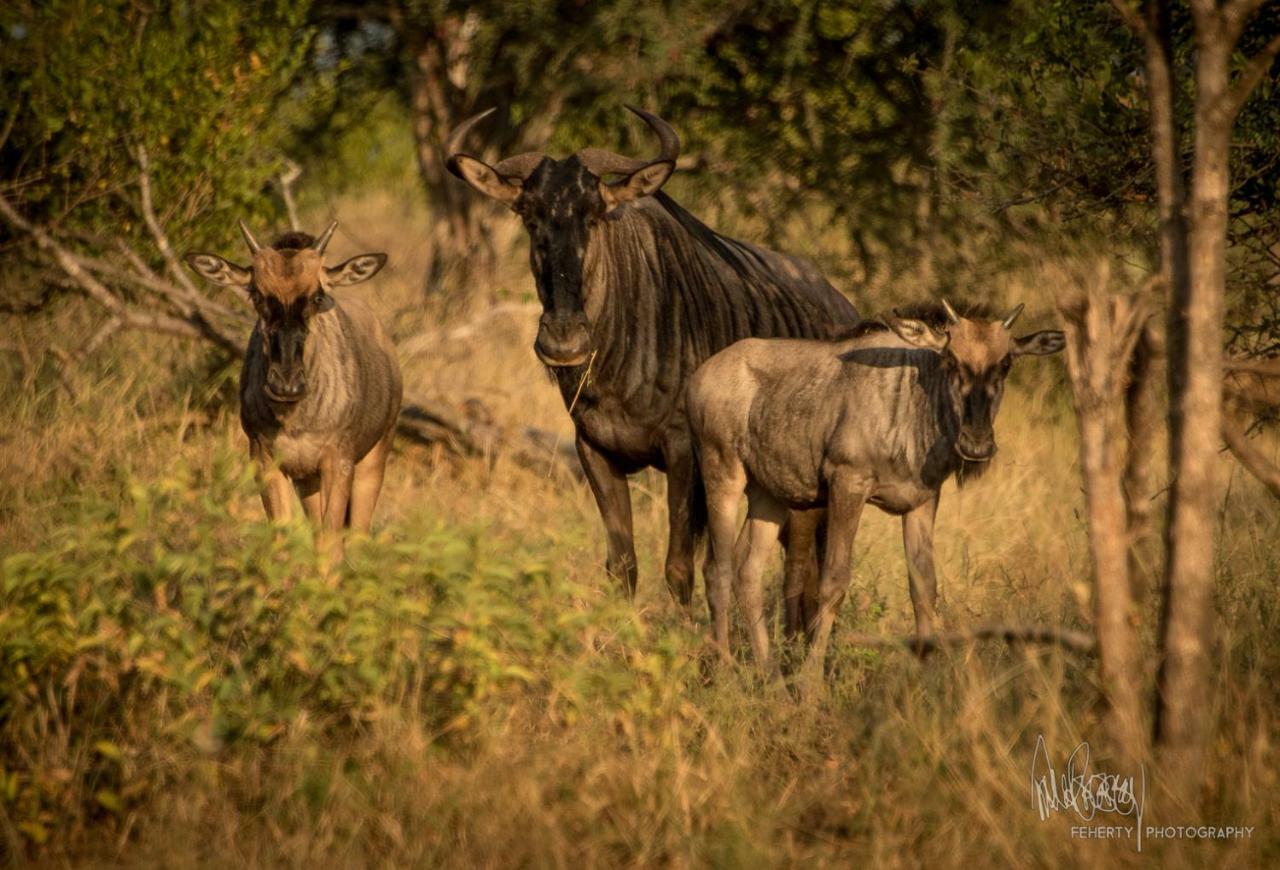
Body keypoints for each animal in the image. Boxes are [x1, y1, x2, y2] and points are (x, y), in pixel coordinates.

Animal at [184, 218, 399, 557]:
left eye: (316, 295)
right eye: (256, 294)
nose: (285, 384)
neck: (296, 418)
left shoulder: (338, 464)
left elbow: (331, 545)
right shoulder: (267, 462)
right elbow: (283, 539)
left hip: (373, 460)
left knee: (357, 537)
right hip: (308, 481)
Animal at [442, 105, 860, 603]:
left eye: (595, 216)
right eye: (529, 218)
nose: (564, 341)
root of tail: (846, 309)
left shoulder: (682, 455)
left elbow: (679, 567)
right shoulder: (594, 451)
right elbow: (622, 565)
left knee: (808, 569)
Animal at [686, 299, 1064, 685]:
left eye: (1006, 363)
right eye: (951, 359)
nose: (976, 445)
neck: (914, 403)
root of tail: (701, 375)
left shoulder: (922, 502)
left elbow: (924, 587)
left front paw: (923, 682)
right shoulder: (847, 485)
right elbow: (833, 582)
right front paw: (811, 683)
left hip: (770, 496)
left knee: (748, 572)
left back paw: (773, 678)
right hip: (723, 476)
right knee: (718, 570)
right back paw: (725, 671)